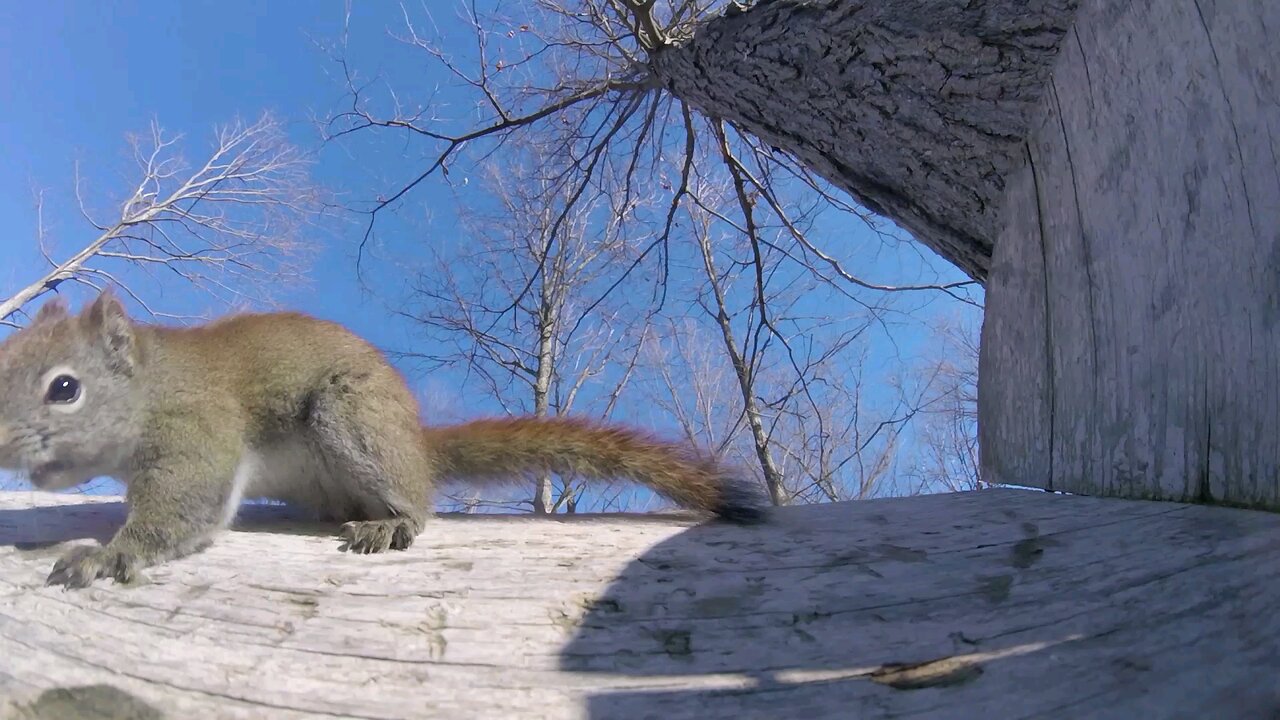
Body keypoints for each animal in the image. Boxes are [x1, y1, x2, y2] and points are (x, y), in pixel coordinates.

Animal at [0, 288, 757, 586]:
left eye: (64, 388)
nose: (3, 445)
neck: (151, 385)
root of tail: (416, 445)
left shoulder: (198, 431)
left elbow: (180, 509)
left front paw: (107, 553)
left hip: (352, 418)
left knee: (416, 503)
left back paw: (392, 522)